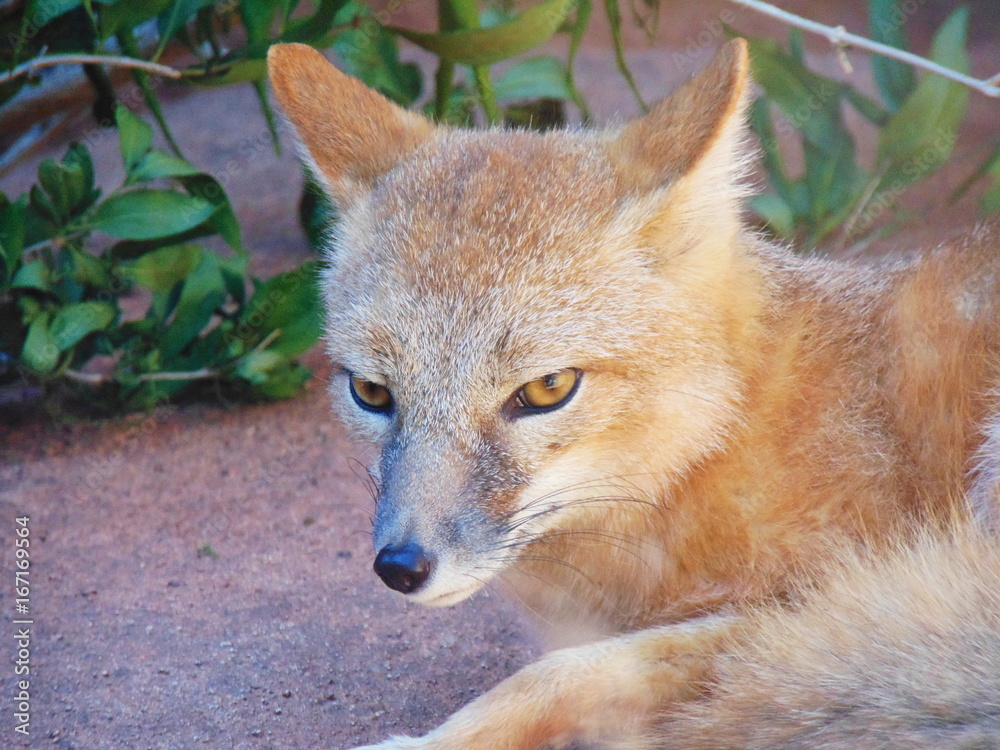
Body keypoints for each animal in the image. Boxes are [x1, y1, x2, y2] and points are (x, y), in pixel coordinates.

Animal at [266, 39, 1000, 749]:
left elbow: (561, 674)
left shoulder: (811, 603)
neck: (724, 442)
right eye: (371, 391)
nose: (401, 566)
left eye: (547, 388)